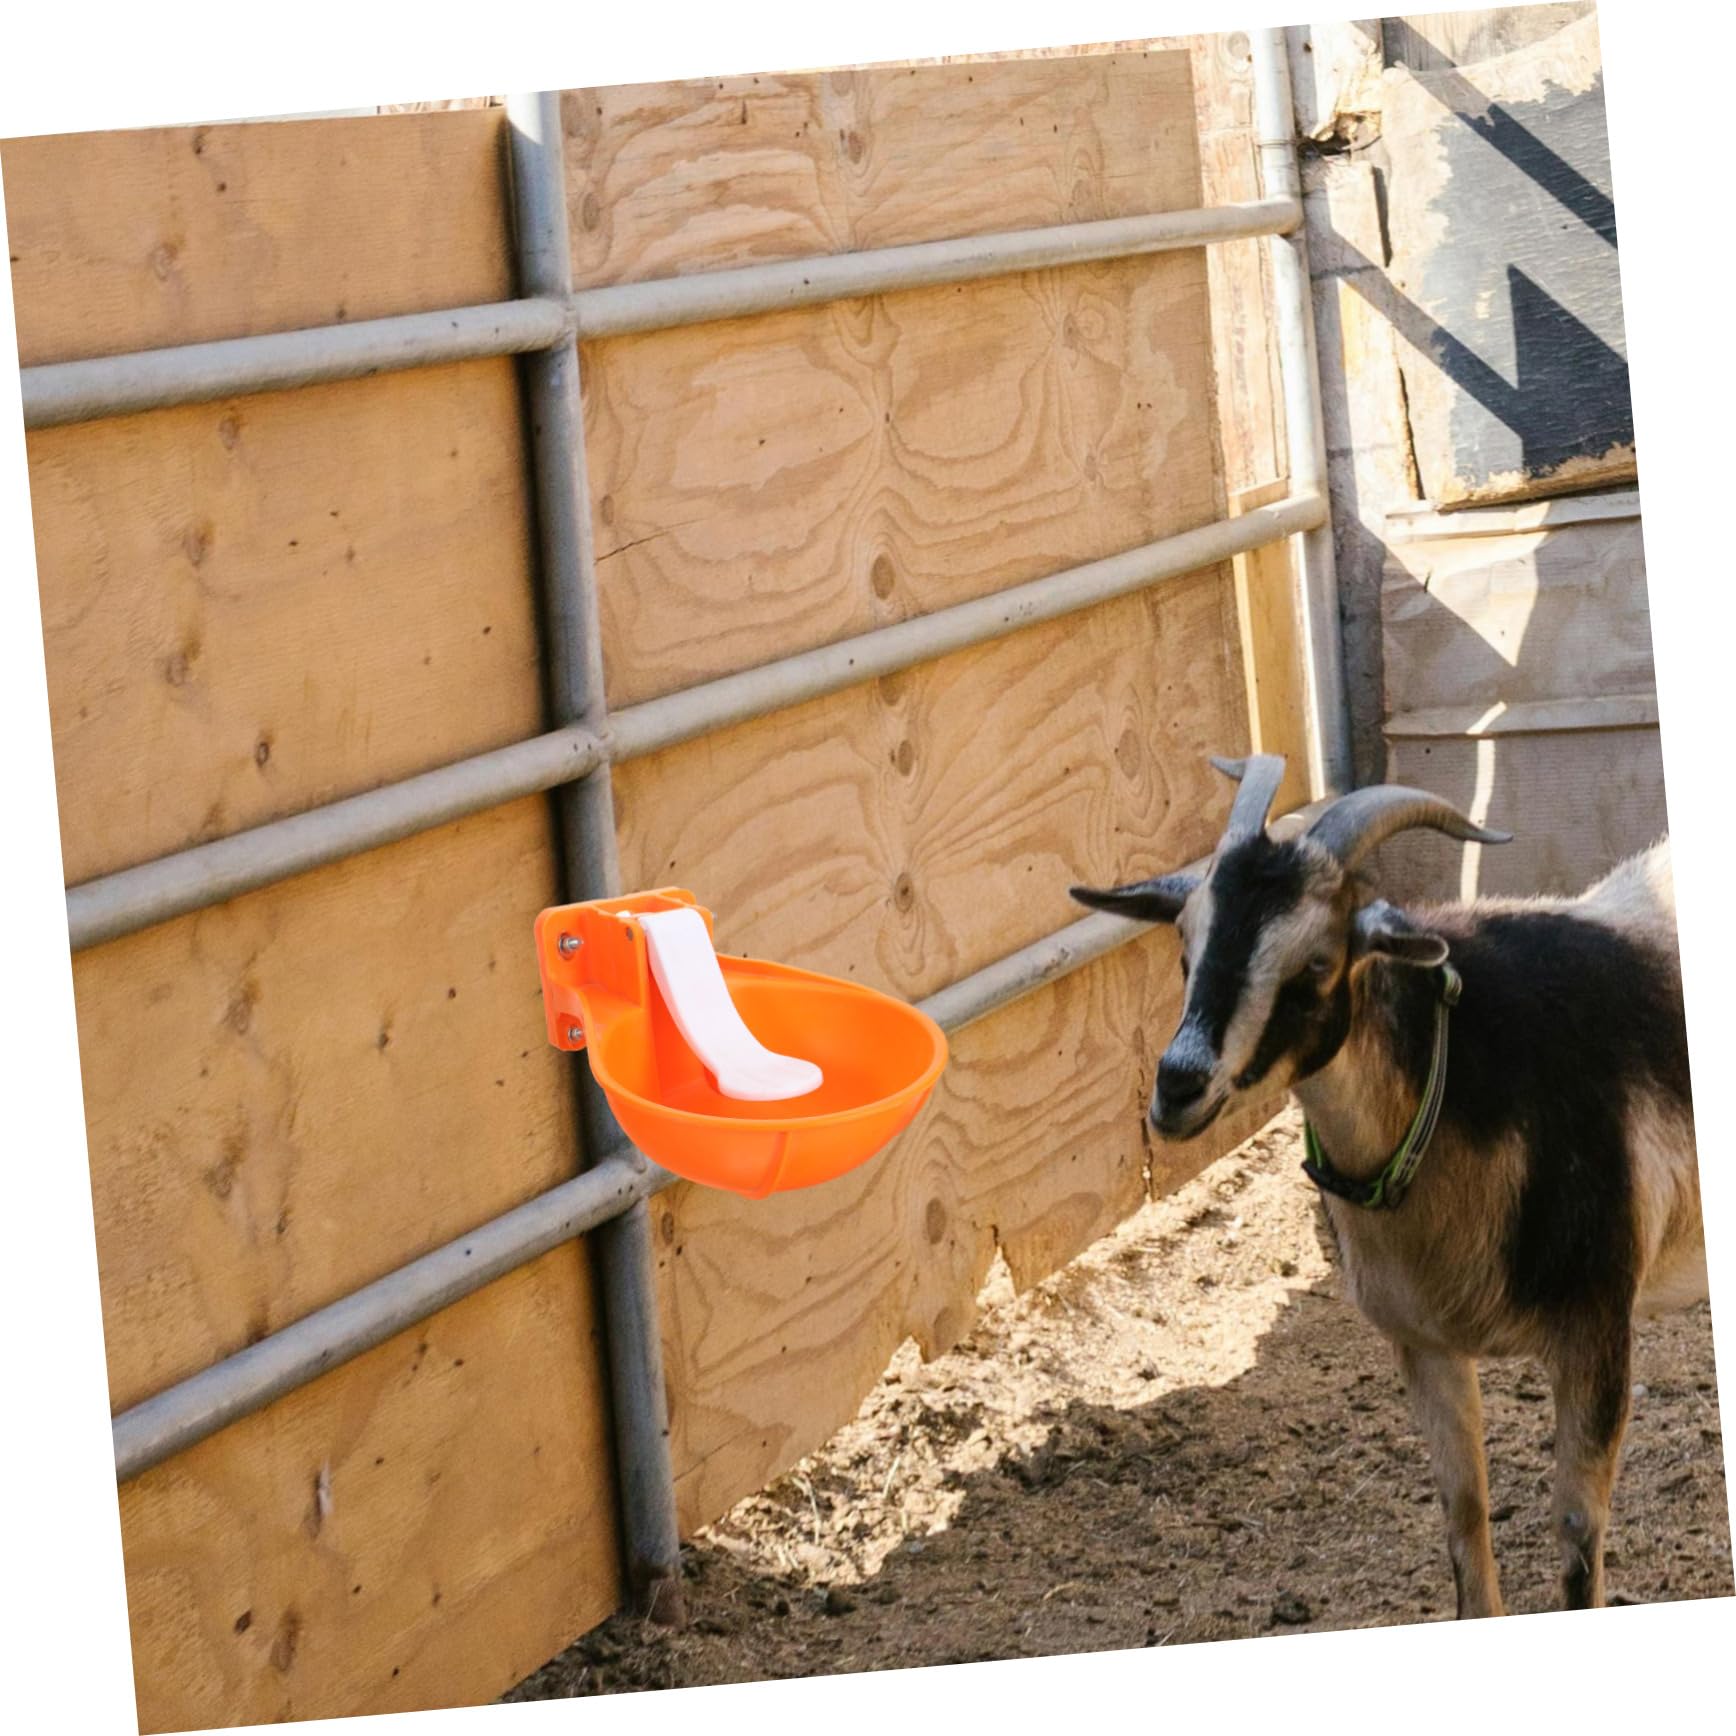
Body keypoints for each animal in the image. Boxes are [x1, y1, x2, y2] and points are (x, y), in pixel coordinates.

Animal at [1071, 752, 1702, 1618]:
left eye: (1316, 965)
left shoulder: (1598, 1322)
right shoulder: (1422, 1340)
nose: (1177, 1088)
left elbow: (1576, 1535)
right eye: (1184, 946)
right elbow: (1464, 1515)